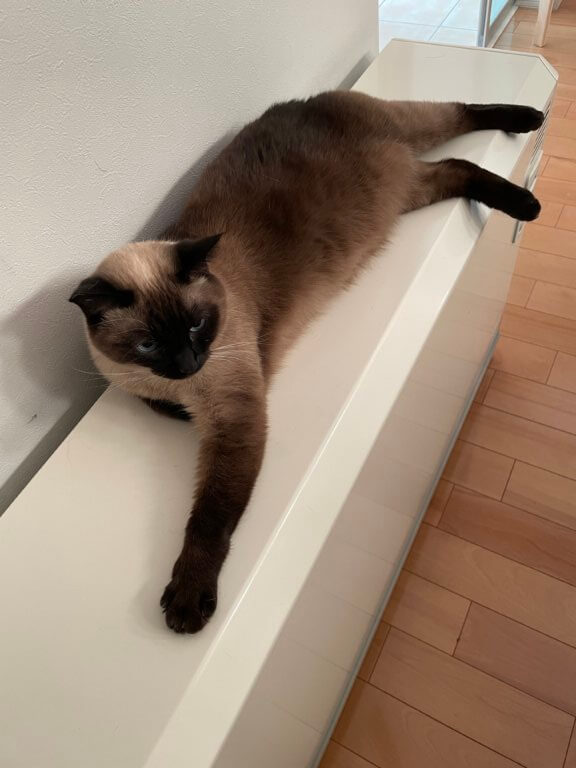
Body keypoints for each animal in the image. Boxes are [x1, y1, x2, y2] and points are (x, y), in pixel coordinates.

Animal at [70, 92, 543, 633]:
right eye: (148, 344)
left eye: (195, 325)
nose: (189, 362)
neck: (178, 389)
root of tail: (396, 150)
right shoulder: (149, 389)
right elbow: (159, 408)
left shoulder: (236, 417)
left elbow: (210, 518)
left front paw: (188, 602)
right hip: (406, 190)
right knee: (456, 166)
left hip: (412, 131)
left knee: (459, 116)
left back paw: (529, 146)